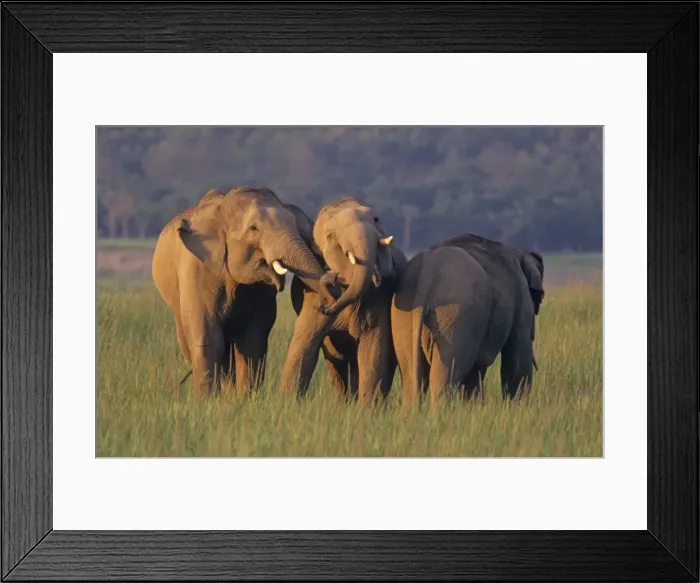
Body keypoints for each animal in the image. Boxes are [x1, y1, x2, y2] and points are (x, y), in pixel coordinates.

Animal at [151, 186, 332, 394]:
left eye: (295, 225)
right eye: (254, 228)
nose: (332, 277)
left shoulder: (261, 291)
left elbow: (253, 340)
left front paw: (246, 398)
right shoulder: (197, 270)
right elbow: (208, 338)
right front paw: (207, 400)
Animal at [278, 197, 407, 403]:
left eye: (376, 219)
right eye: (331, 236)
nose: (324, 308)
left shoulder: (378, 297)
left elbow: (373, 347)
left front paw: (367, 408)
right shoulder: (313, 294)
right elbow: (303, 342)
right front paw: (287, 404)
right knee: (336, 364)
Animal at [391, 233, 544, 405]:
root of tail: (426, 279)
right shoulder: (522, 298)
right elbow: (517, 360)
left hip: (404, 317)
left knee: (410, 376)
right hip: (457, 319)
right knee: (447, 376)